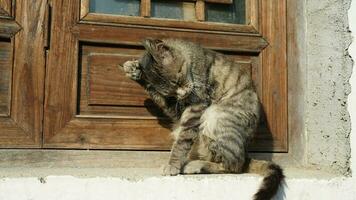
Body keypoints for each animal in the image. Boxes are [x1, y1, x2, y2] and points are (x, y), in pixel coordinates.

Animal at [121, 38, 284, 199]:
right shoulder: (177, 109)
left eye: (177, 81)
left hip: (215, 116)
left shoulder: (196, 107)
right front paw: (133, 69)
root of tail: (246, 152)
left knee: (234, 166)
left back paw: (196, 165)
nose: (182, 93)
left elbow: (181, 143)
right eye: (170, 91)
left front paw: (172, 165)